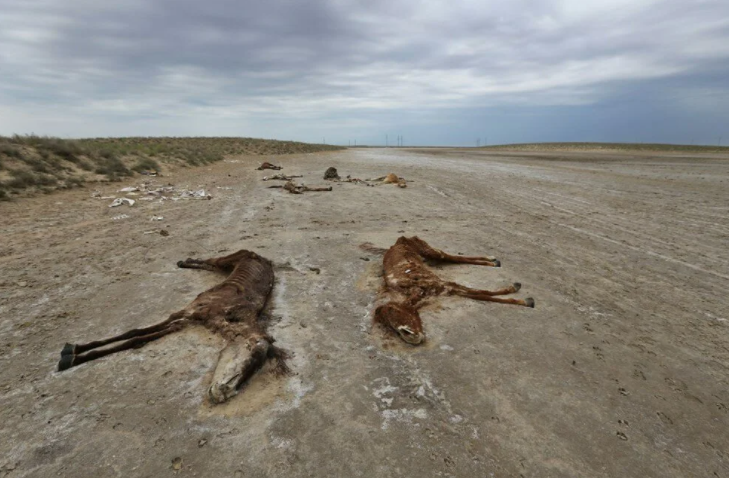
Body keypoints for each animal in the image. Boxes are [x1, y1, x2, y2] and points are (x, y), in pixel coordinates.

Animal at [57, 250, 290, 404]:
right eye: (251, 354)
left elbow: (142, 337)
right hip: (231, 259)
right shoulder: (189, 311)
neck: (232, 314)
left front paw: (71, 356)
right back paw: (184, 261)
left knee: (212, 265)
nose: (224, 392)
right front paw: (71, 353)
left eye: (257, 366)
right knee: (212, 260)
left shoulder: (187, 320)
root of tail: (260, 256)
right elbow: (135, 332)